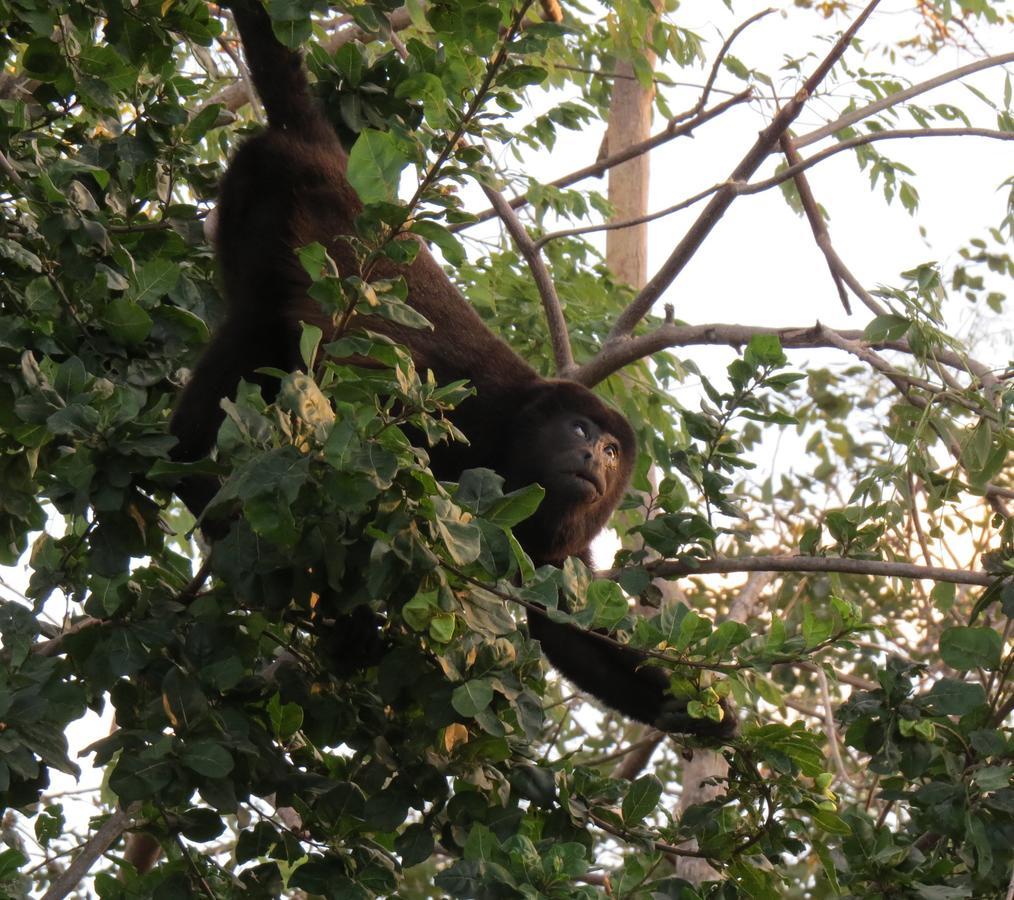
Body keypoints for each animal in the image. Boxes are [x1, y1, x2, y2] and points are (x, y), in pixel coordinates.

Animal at [170, 0, 734, 737]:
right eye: (581, 431)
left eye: (613, 449)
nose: (597, 460)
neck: (515, 439)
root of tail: (321, 152)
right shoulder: (465, 419)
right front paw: (348, 620)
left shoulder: (551, 546)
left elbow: (563, 626)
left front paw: (699, 712)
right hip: (266, 198)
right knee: (266, 329)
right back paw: (195, 471)